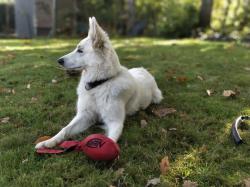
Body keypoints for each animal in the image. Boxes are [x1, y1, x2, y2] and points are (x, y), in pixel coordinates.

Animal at [36, 17, 163, 149]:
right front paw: (48, 141)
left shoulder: (115, 122)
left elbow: (111, 140)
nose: (59, 60)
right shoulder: (85, 115)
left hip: (157, 97)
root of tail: (143, 70)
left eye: (80, 50)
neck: (99, 85)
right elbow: (65, 129)